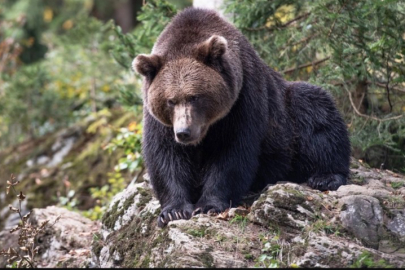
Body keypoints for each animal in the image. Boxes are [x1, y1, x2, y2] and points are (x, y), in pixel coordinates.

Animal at [133, 6, 350, 227]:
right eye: (170, 100)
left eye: (195, 97)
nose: (184, 132)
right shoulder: (159, 121)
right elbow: (165, 156)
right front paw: (173, 211)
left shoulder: (243, 99)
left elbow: (232, 153)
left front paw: (209, 205)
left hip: (289, 118)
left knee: (316, 112)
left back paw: (325, 176)